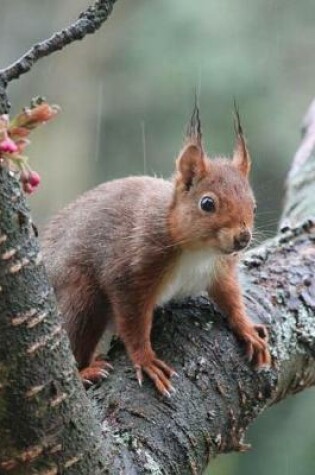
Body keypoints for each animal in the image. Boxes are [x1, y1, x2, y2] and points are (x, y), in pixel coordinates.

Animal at [42, 105, 272, 398]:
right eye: (207, 203)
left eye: (253, 206)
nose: (243, 238)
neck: (199, 252)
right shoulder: (132, 269)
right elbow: (133, 321)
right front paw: (146, 360)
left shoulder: (220, 270)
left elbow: (230, 297)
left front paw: (247, 328)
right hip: (79, 295)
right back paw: (86, 372)